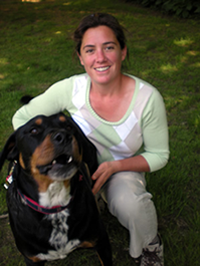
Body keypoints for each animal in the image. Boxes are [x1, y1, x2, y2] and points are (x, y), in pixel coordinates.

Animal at [0, 112, 112, 266]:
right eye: (33, 130)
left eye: (69, 126)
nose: (64, 136)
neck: (55, 203)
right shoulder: (32, 259)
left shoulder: (101, 242)